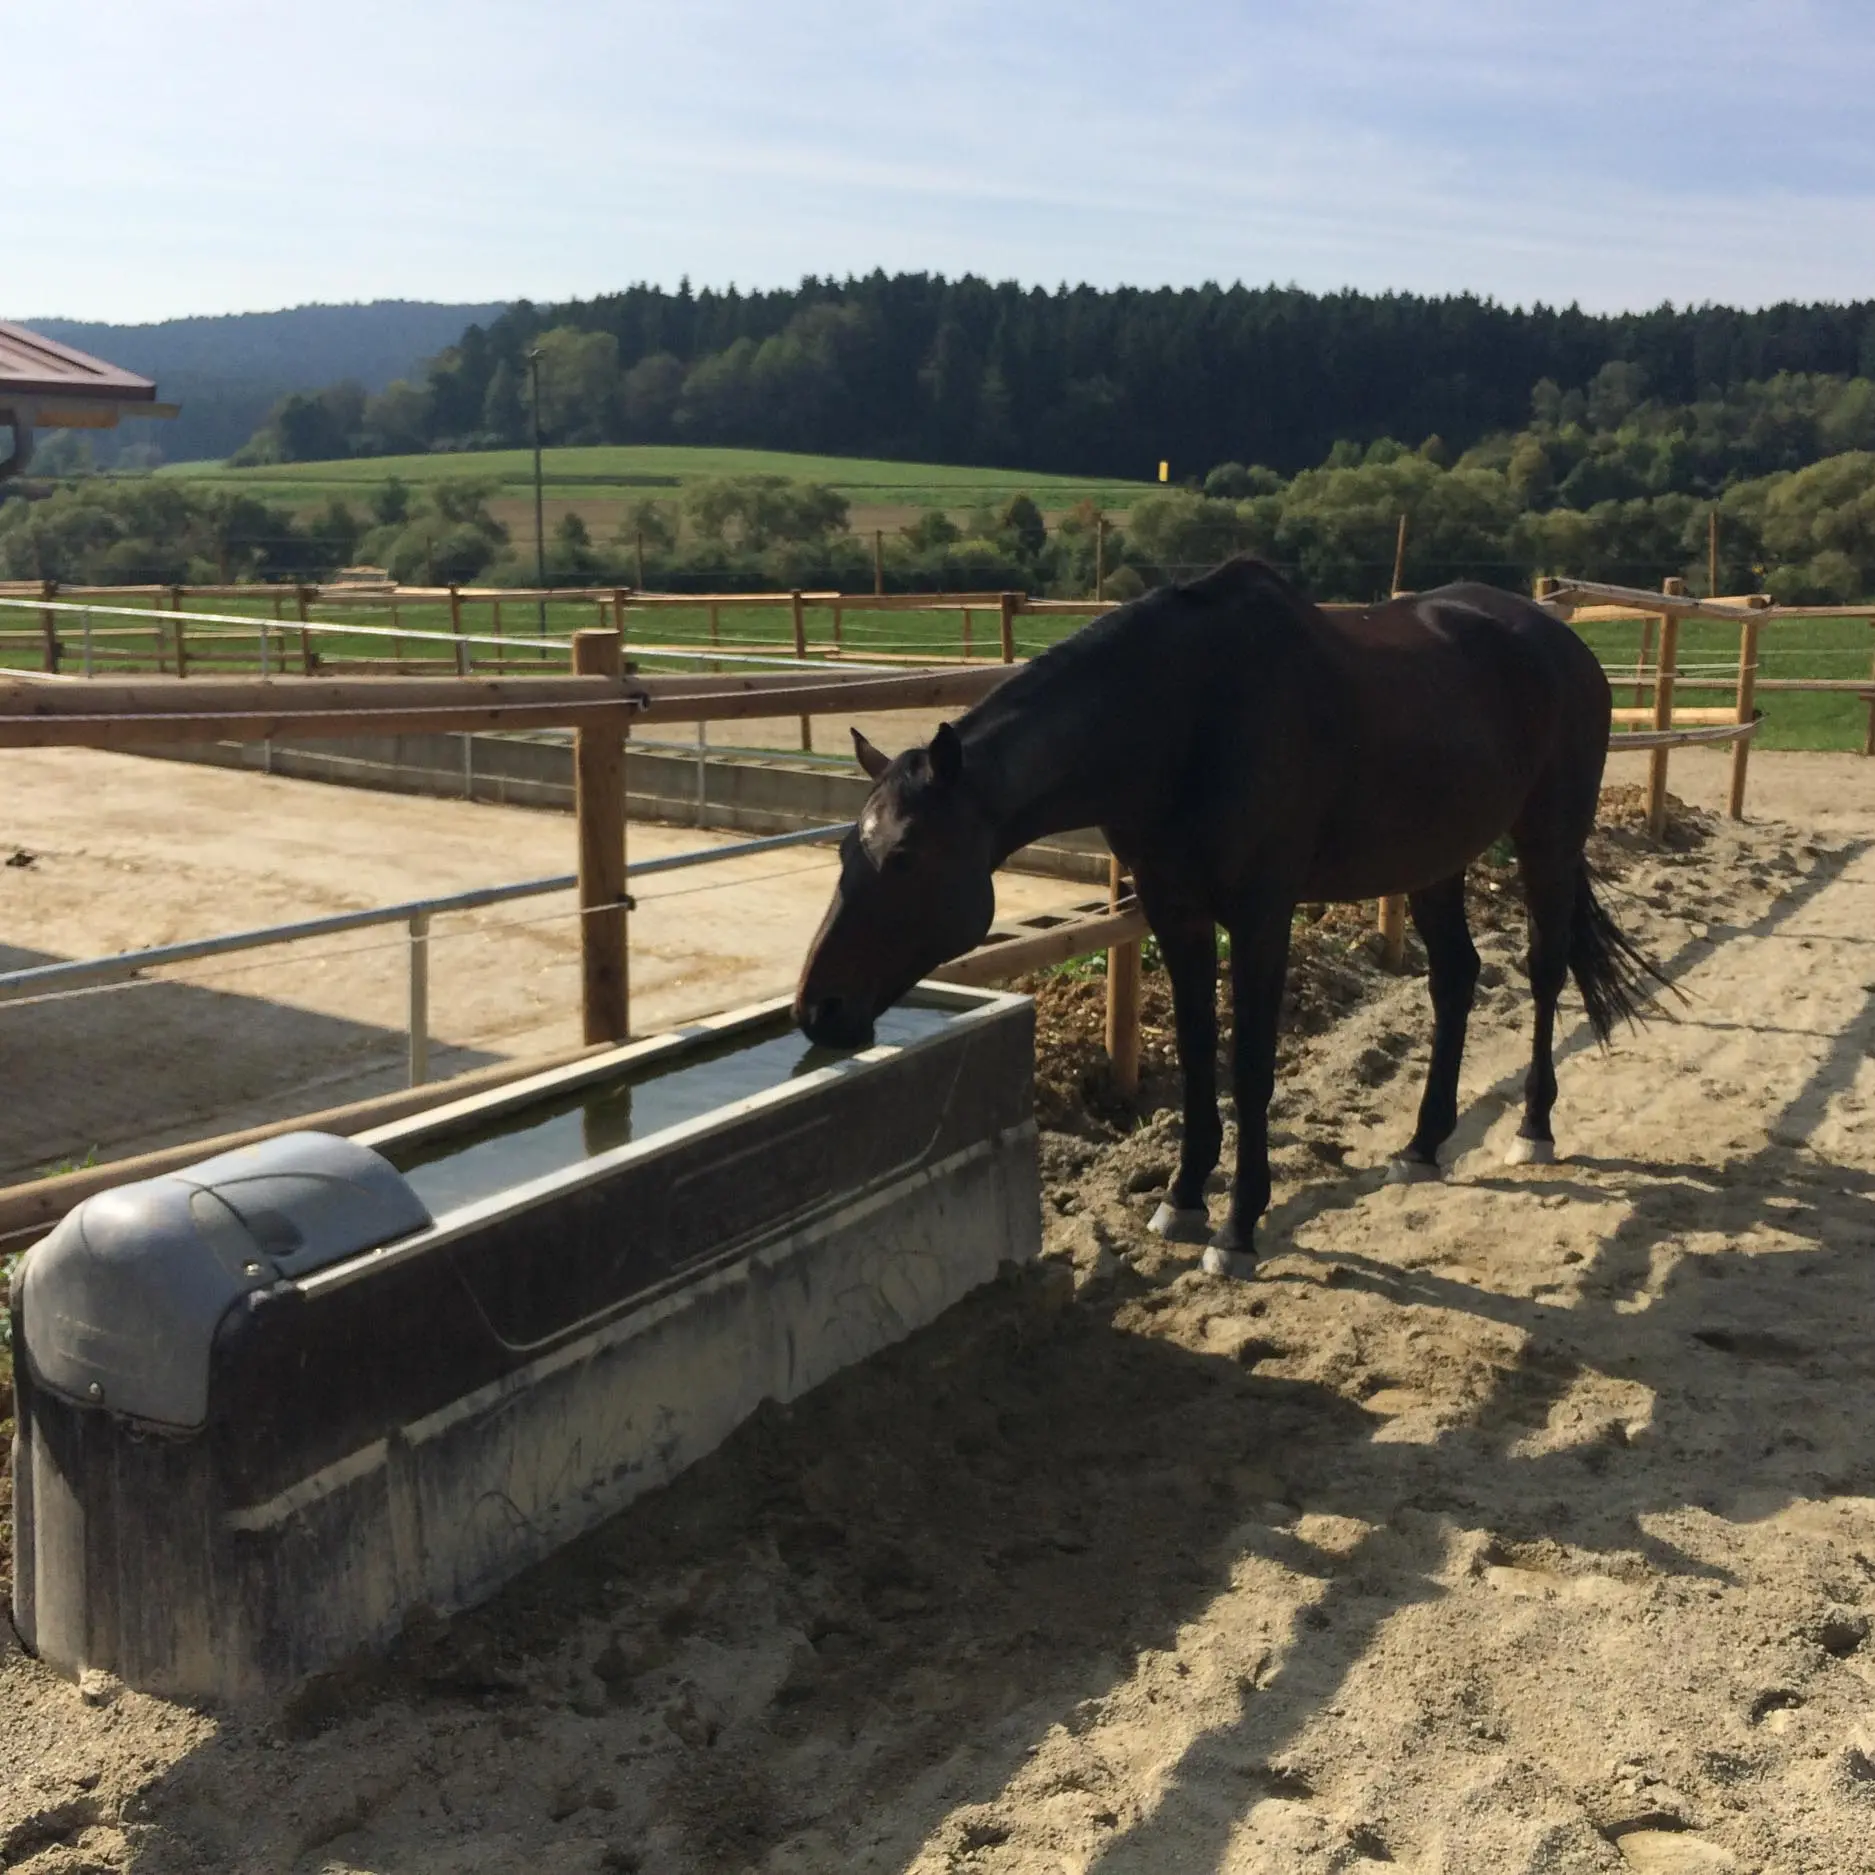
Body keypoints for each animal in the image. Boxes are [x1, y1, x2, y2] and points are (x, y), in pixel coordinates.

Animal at [795, 557, 1661, 1277]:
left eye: (904, 856)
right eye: (844, 849)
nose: (817, 1009)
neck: (1187, 718)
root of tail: (1563, 644)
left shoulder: (1259, 914)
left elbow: (1249, 1061)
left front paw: (1238, 1226)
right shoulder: (1173, 909)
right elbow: (1194, 1048)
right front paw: (1181, 1197)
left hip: (1547, 838)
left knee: (1544, 970)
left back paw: (1533, 1127)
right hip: (1436, 862)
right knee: (1455, 977)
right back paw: (1422, 1142)